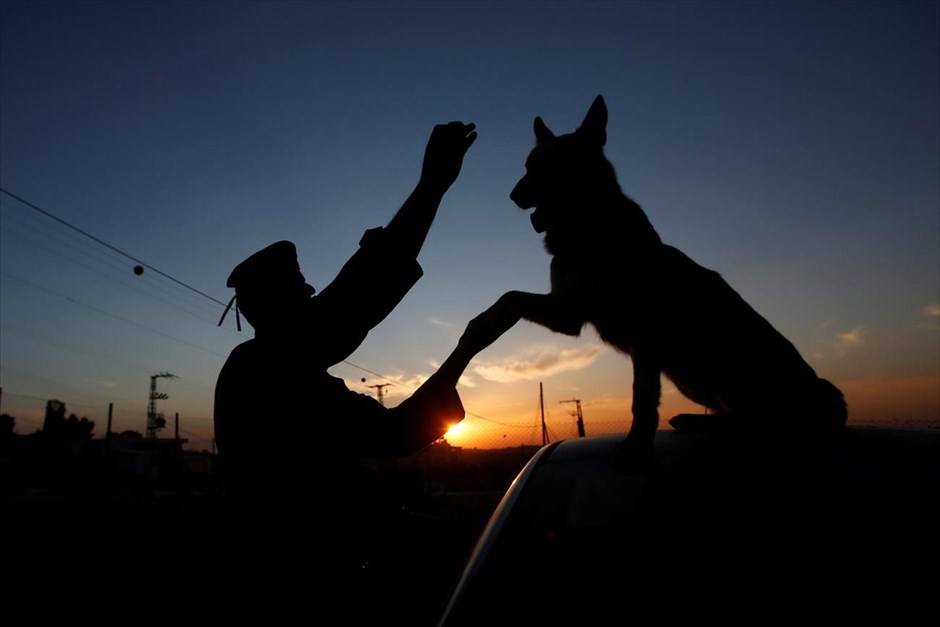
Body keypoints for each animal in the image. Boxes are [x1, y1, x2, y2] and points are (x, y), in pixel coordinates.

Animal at [496, 94, 848, 466]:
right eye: (528, 165)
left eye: (553, 164)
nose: (513, 195)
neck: (590, 230)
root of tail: (828, 401)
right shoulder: (569, 313)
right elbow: (511, 296)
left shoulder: (644, 333)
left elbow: (642, 398)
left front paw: (636, 447)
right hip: (690, 378)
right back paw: (694, 420)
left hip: (722, 370)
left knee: (762, 422)